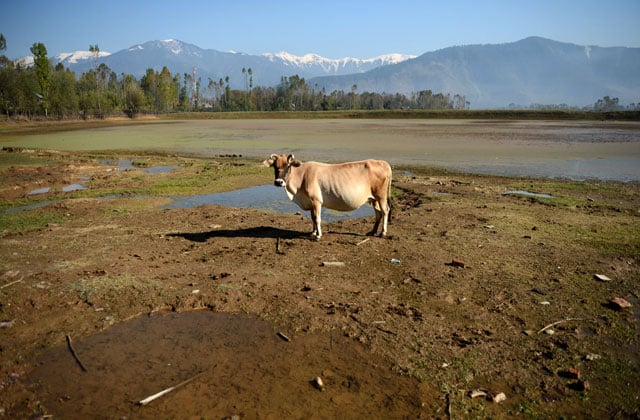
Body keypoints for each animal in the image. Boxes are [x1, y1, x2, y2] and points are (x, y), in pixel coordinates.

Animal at [264, 153, 392, 240]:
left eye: (288, 166)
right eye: (275, 166)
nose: (278, 182)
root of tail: (383, 163)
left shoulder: (316, 201)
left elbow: (317, 218)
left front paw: (318, 235)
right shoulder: (311, 203)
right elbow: (313, 218)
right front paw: (313, 232)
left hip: (381, 196)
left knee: (385, 211)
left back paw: (383, 233)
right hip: (374, 198)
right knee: (378, 213)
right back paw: (373, 232)